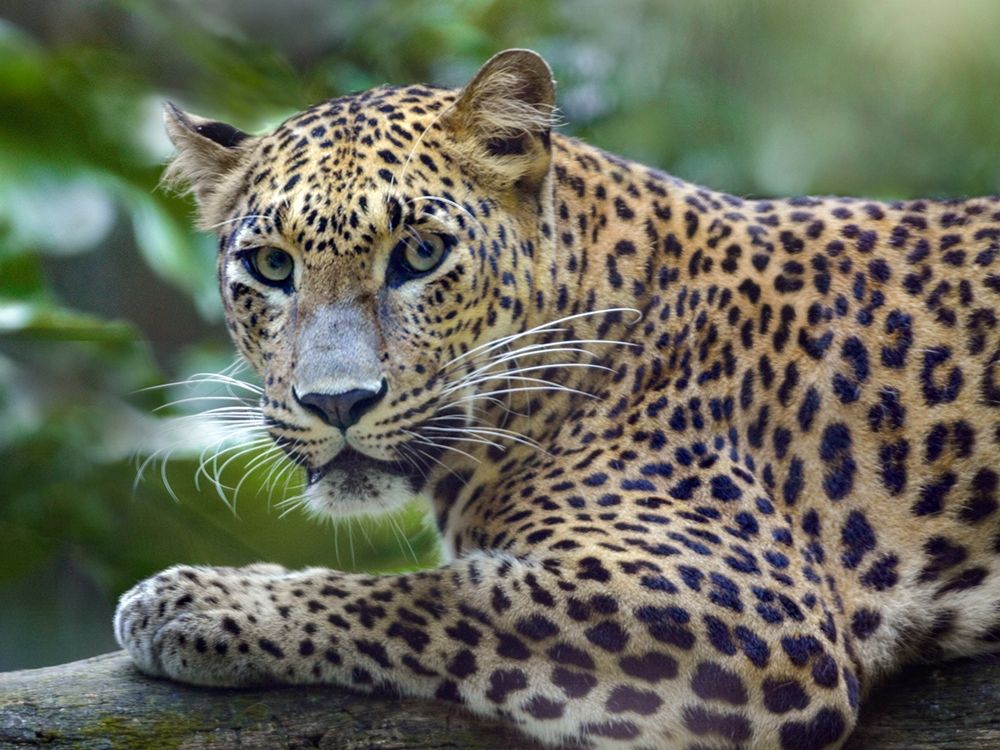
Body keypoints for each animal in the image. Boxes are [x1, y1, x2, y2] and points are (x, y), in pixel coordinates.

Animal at [115, 49, 1000, 749]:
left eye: (420, 254)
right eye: (270, 267)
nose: (338, 403)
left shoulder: (752, 605)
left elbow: (436, 594)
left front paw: (199, 599)